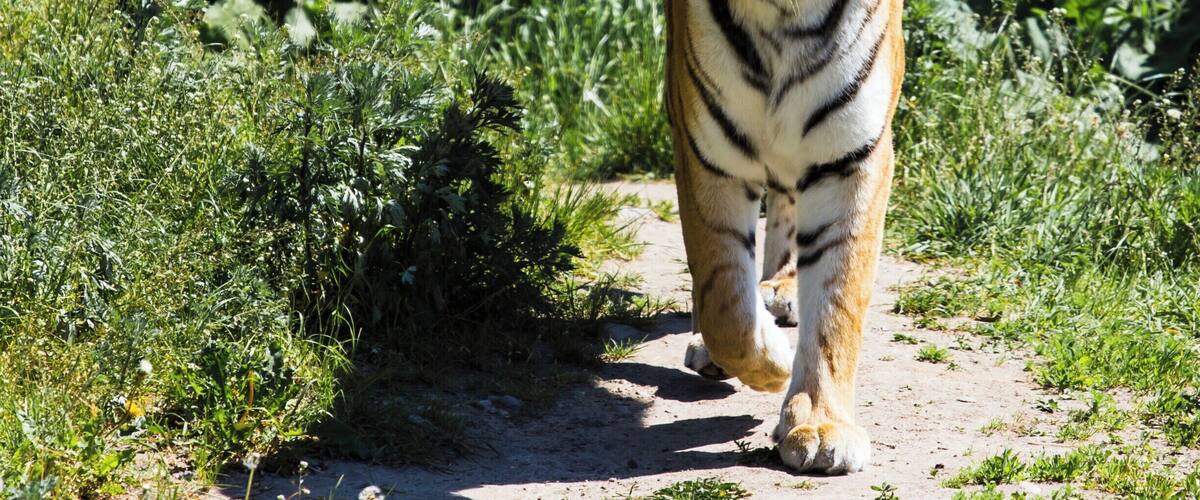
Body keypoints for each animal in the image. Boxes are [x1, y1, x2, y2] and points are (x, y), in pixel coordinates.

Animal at [664, 0, 905, 474]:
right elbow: (726, 308)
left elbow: (838, 302)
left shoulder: (851, 158)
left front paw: (821, 425)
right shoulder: (708, 155)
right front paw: (773, 360)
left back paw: (784, 286)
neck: (781, 14)